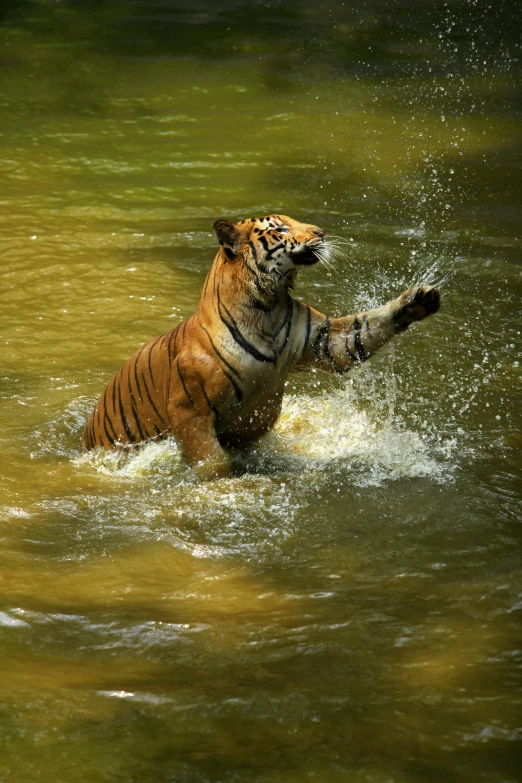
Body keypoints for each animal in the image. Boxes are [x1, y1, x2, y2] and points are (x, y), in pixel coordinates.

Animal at [81, 217, 438, 480]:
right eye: (281, 228)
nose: (321, 232)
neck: (266, 307)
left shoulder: (324, 340)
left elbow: (363, 329)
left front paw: (418, 300)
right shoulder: (190, 412)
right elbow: (212, 463)